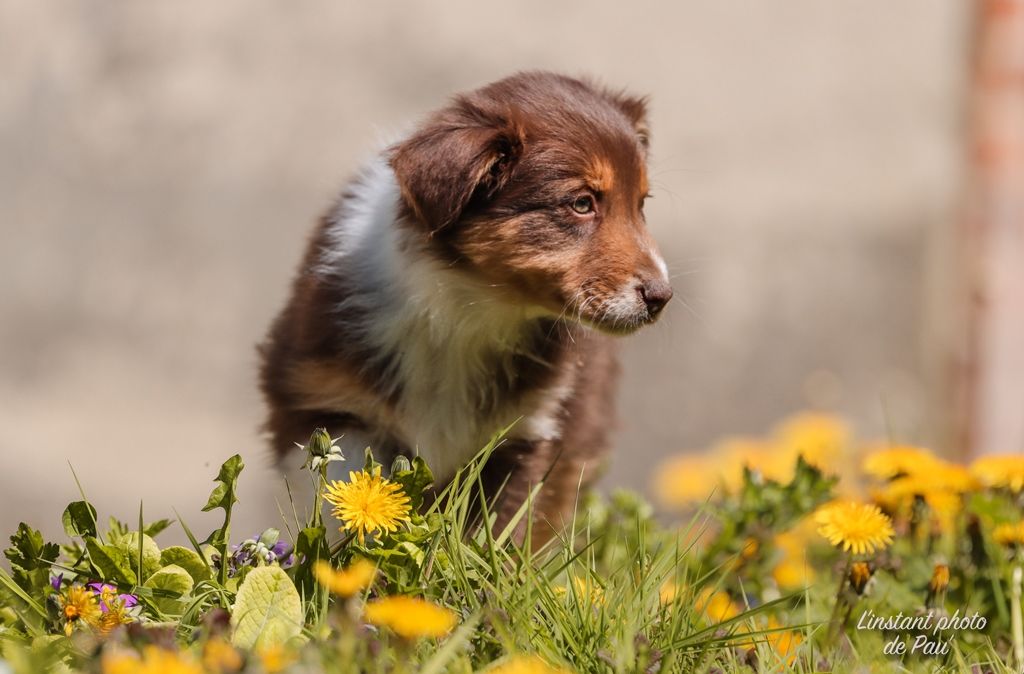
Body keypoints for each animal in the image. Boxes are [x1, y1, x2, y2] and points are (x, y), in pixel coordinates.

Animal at [260, 72, 667, 536]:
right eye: (581, 203)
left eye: (640, 204)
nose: (662, 297)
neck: (471, 307)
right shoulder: (318, 398)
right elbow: (350, 492)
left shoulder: (524, 433)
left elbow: (498, 531)